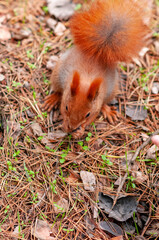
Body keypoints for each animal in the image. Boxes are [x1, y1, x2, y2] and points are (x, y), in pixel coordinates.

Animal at [42, 0, 147, 139]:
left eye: (87, 114)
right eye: (66, 107)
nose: (72, 127)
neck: (86, 79)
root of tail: (97, 53)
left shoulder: (96, 106)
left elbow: (93, 117)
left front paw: (80, 130)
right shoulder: (66, 94)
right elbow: (63, 99)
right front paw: (64, 124)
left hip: (112, 89)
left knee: (104, 103)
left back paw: (108, 111)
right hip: (57, 73)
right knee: (58, 90)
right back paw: (52, 99)